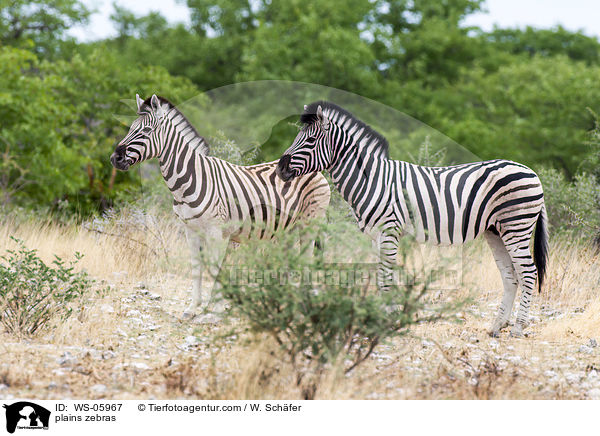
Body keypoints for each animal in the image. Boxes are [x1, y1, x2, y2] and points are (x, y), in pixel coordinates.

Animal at [110, 94, 330, 320]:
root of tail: (317, 170)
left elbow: (215, 269)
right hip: (287, 229)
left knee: (307, 259)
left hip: (310, 223)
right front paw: (193, 308)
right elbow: (197, 268)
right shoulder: (190, 230)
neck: (190, 179)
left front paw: (214, 310)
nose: (115, 158)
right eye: (130, 129)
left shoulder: (217, 231)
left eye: (145, 131)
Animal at [276, 101, 548, 338]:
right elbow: (384, 277)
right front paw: (387, 317)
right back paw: (496, 326)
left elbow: (386, 278)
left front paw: (387, 321)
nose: (280, 169)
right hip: (495, 231)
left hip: (516, 226)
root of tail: (532, 172)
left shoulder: (389, 230)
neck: (372, 180)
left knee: (528, 273)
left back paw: (518, 328)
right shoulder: (376, 235)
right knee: (510, 275)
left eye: (310, 141)